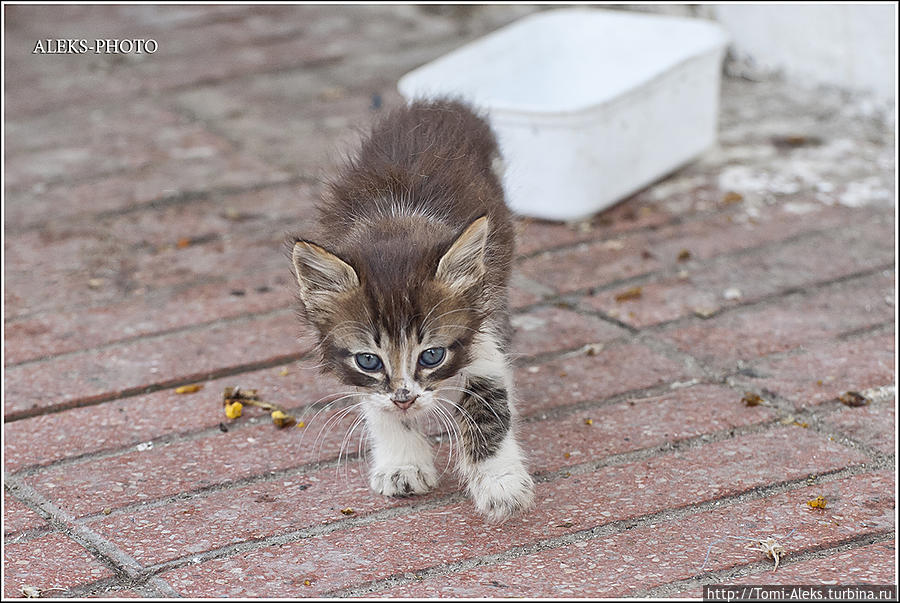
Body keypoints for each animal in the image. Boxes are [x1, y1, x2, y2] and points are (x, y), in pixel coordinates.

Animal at [288, 99, 532, 524]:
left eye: (431, 355)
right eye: (369, 360)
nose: (405, 398)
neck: (395, 224)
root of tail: (441, 105)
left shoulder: (480, 328)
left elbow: (488, 406)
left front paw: (500, 483)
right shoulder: (368, 381)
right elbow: (379, 407)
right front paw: (402, 465)